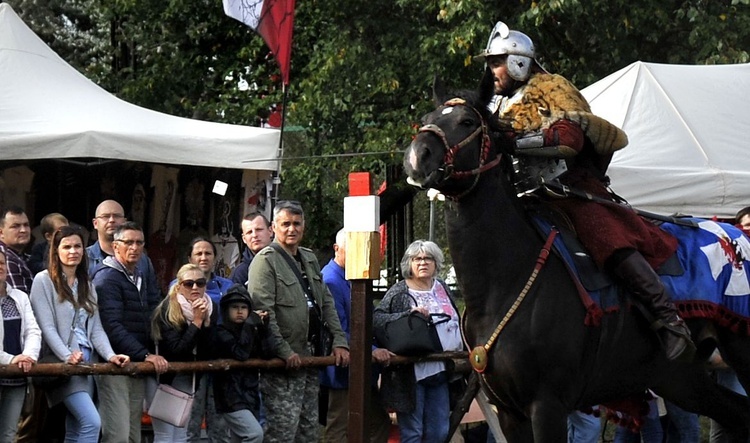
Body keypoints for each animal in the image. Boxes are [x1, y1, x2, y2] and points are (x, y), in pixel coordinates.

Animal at [406, 69, 750, 440]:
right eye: (427, 118)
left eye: (467, 121)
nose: (417, 157)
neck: (504, 280)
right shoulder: (509, 413)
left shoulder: (548, 406)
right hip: (679, 379)